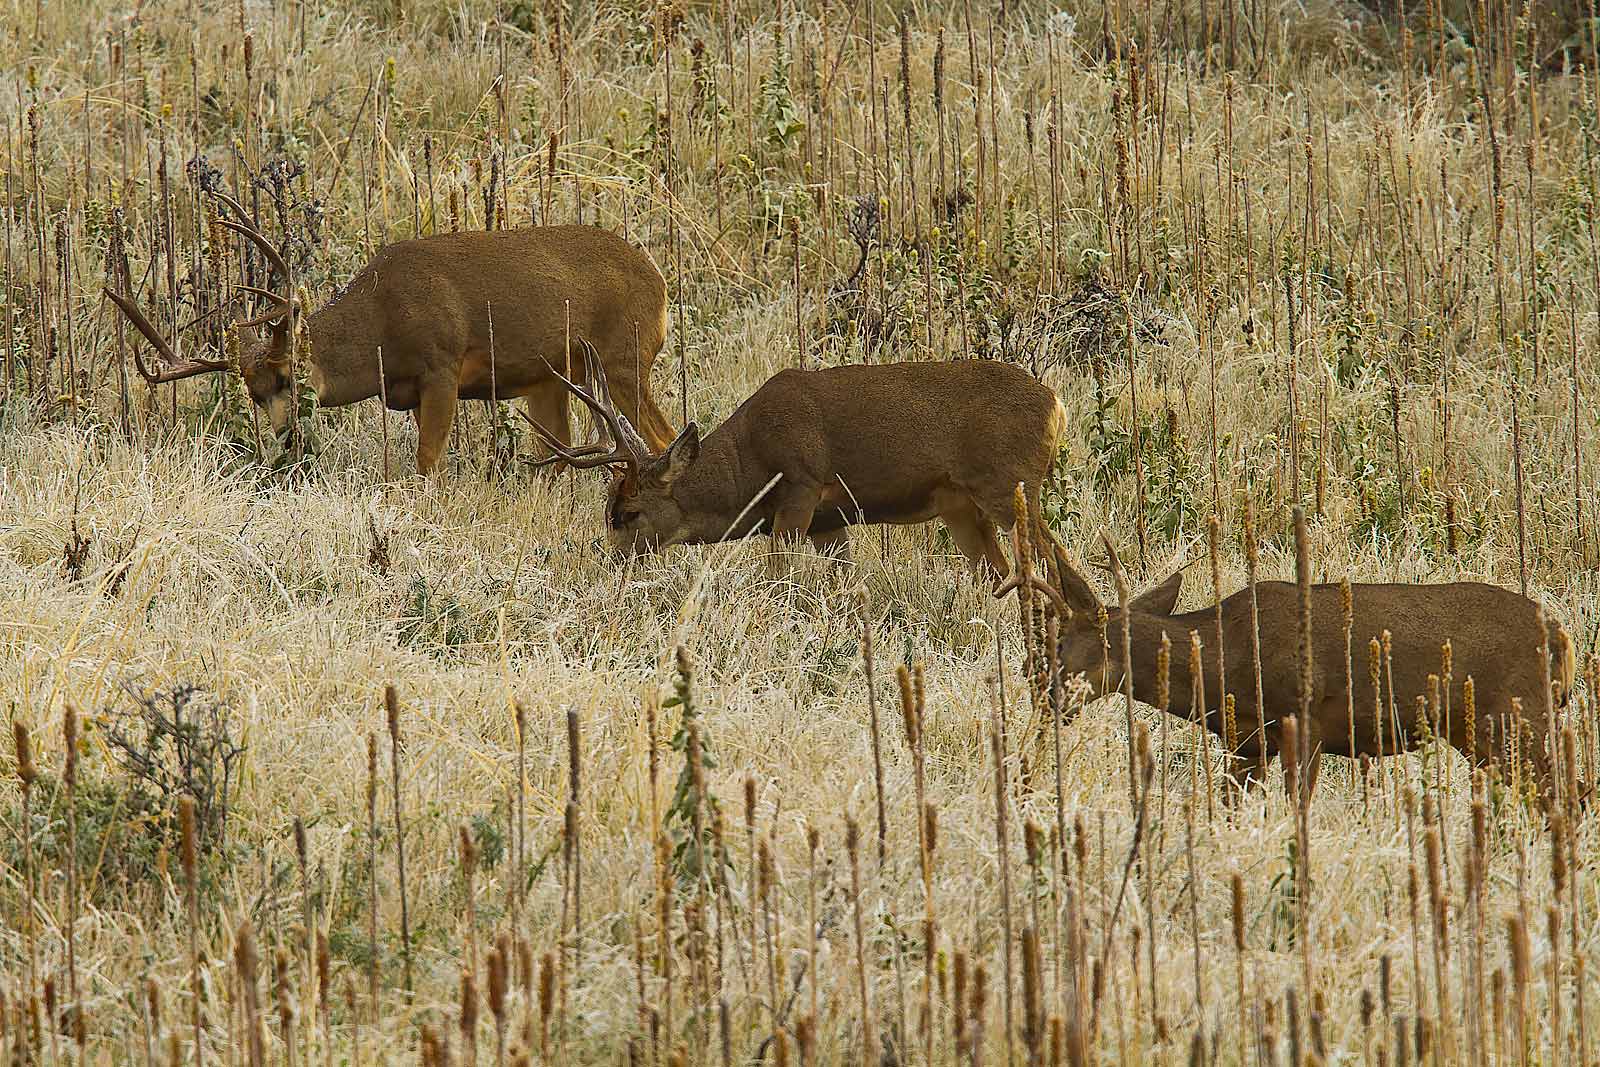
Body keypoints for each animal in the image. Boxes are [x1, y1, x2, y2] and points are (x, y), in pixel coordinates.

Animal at [100, 189, 675, 476]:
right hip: (553, 380)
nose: (286, 438)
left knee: (664, 437)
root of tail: (659, 281)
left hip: (624, 358)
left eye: (288, 378)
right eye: (253, 393)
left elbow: (426, 462)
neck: (381, 322)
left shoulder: (442, 365)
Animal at [531, 343, 1068, 585]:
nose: (608, 567)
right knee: (1004, 571)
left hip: (1007, 483)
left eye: (628, 513)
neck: (748, 463)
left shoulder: (801, 486)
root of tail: (1055, 405)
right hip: (963, 507)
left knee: (1051, 558)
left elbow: (778, 575)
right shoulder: (831, 519)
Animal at [1004, 521, 1580, 806]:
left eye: (1059, 642)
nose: (1043, 690)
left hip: (1516, 718)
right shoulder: (1246, 743)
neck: (1224, 662)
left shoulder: (1302, 720)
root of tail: (1563, 637)